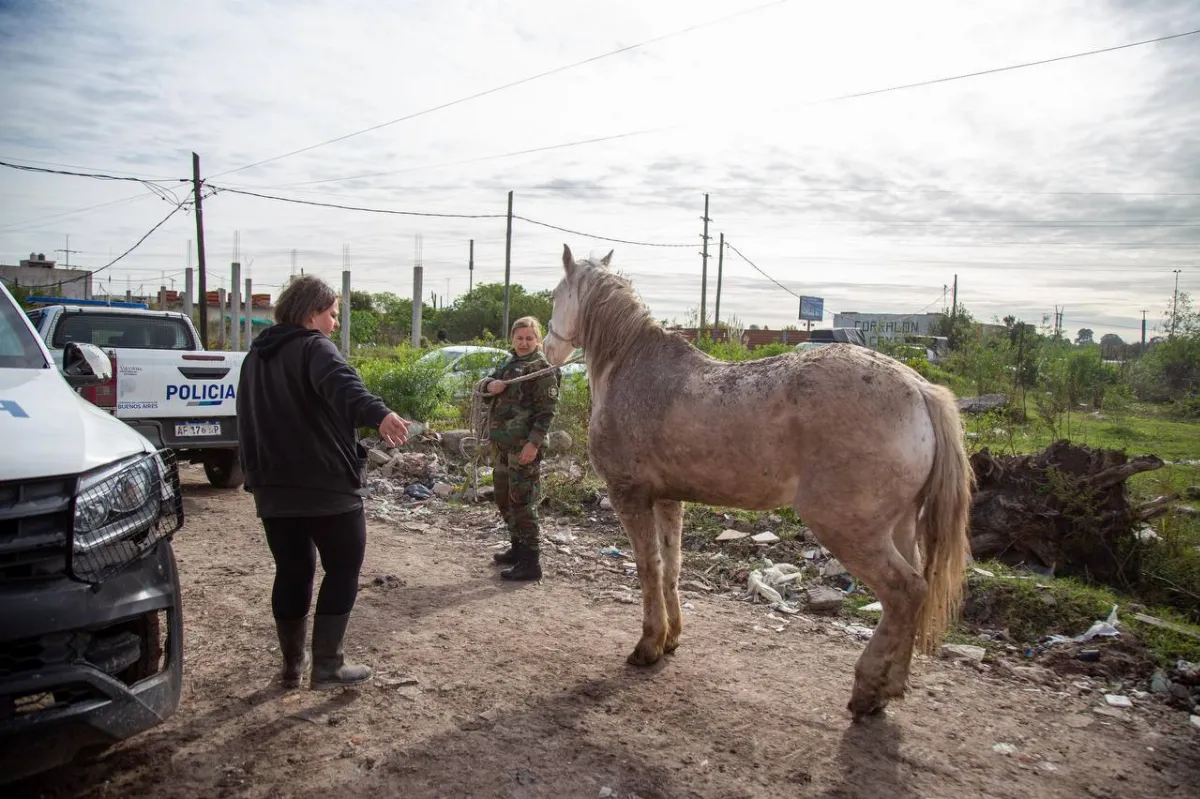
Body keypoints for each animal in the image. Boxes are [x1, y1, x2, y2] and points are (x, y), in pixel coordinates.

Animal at [541, 244, 973, 718]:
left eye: (555, 295)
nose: (546, 348)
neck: (631, 366)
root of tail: (919, 389)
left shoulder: (630, 496)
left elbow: (647, 568)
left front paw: (649, 645)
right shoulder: (669, 500)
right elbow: (672, 566)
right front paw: (672, 638)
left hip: (851, 530)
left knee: (905, 592)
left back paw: (868, 689)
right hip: (900, 526)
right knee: (915, 593)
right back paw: (890, 686)